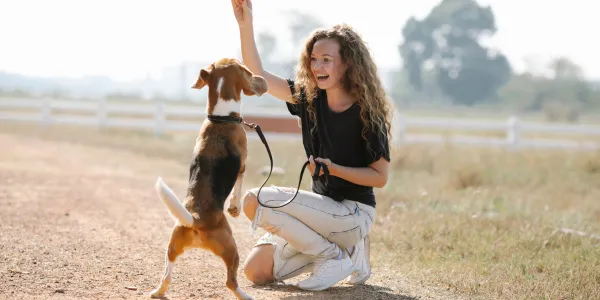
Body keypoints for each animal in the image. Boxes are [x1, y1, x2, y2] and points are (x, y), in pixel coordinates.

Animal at [150, 57, 270, 298]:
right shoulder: (242, 165)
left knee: (166, 275)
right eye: (247, 71)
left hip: (171, 246)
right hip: (232, 248)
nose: (263, 80)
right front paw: (234, 208)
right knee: (230, 282)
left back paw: (158, 291)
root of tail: (196, 218)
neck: (221, 118)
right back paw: (246, 295)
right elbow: (238, 189)